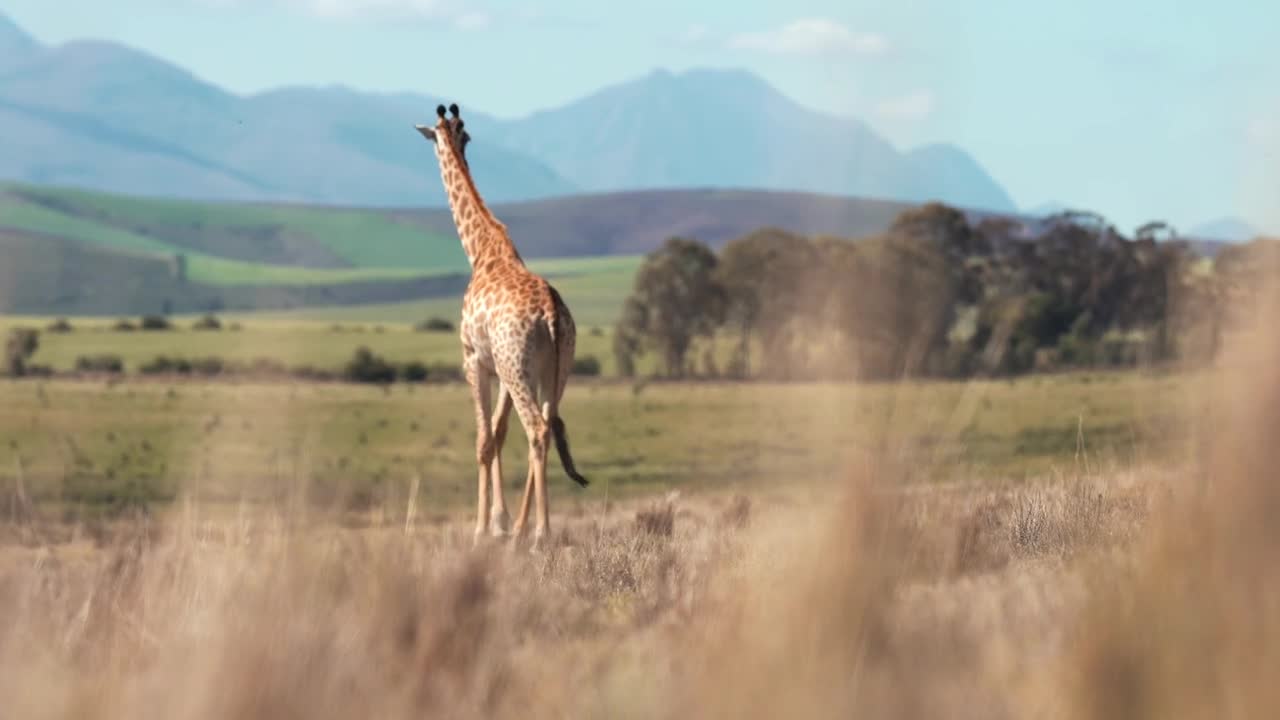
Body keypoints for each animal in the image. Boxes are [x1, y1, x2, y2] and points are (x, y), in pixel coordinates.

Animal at [414, 103, 588, 545]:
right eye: (460, 134)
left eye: (434, 136)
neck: (482, 250)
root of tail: (551, 313)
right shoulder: (502, 367)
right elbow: (500, 430)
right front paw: (503, 522)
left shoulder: (473, 359)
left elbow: (484, 440)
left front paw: (482, 528)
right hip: (551, 369)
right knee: (544, 426)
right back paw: (529, 528)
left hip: (518, 368)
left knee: (537, 429)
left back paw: (542, 532)